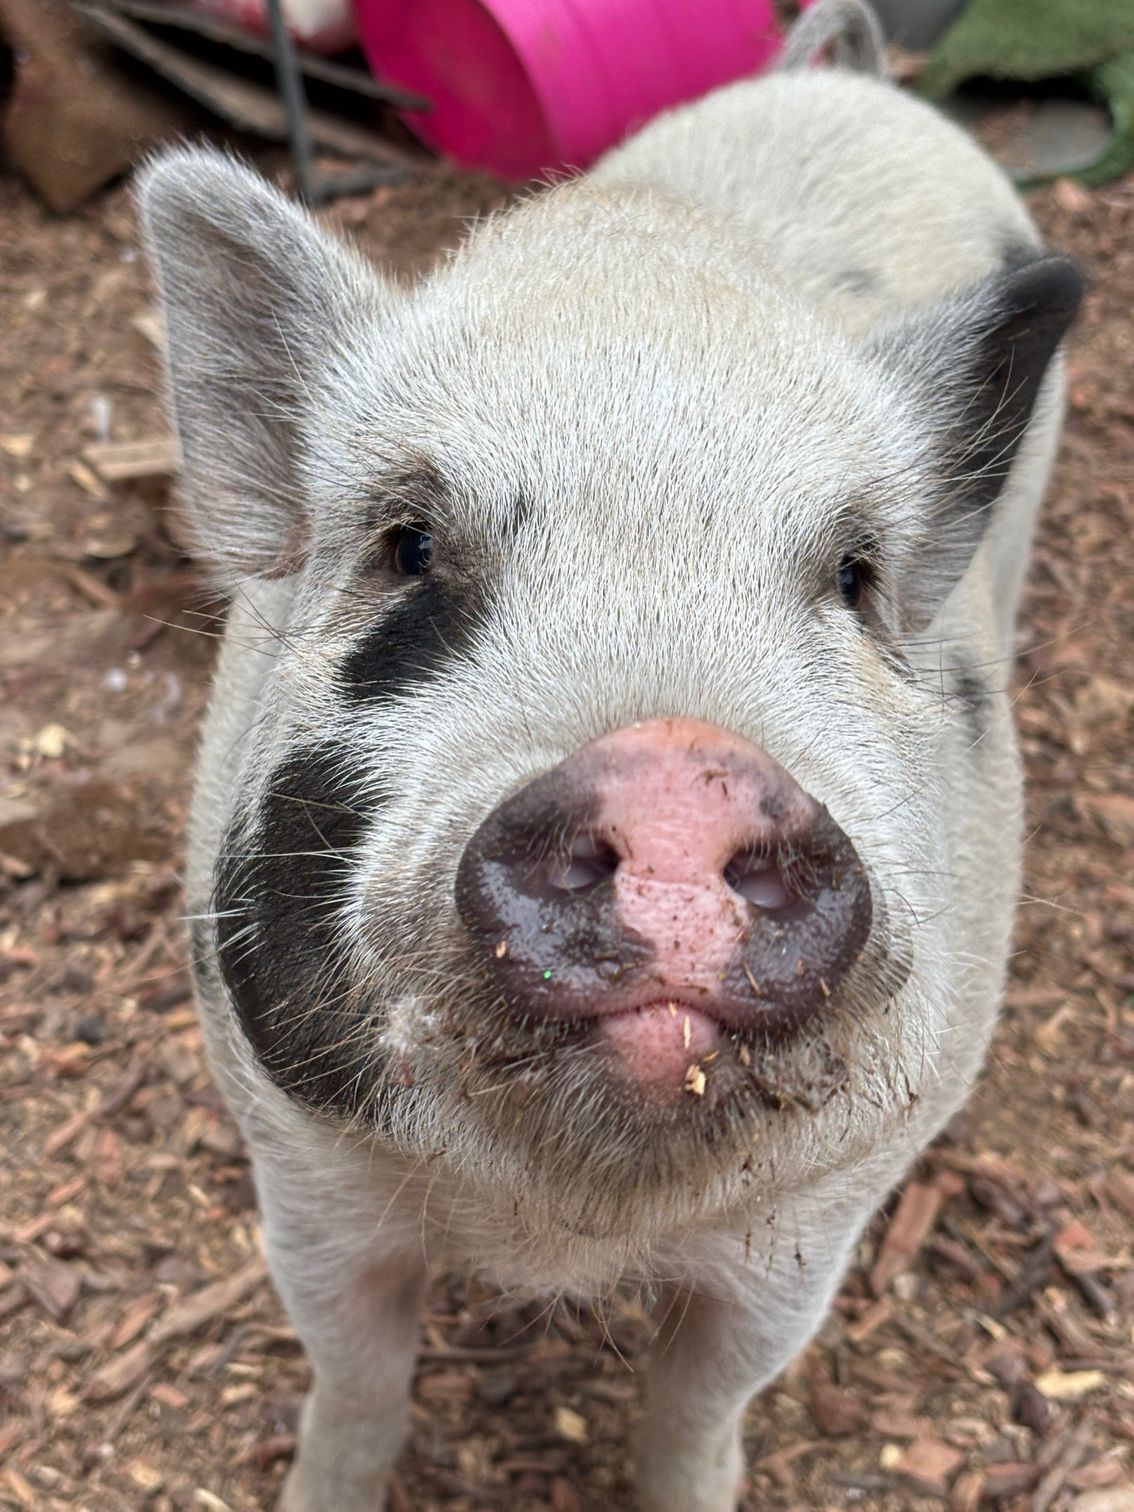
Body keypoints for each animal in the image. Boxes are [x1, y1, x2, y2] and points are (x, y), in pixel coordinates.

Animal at [138, 1, 1082, 1506]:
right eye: (408, 545)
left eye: (854, 575)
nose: (682, 763)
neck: (562, 1226)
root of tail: (863, 89)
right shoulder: (299, 1165)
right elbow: (354, 1373)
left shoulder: (821, 1212)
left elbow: (704, 1404)